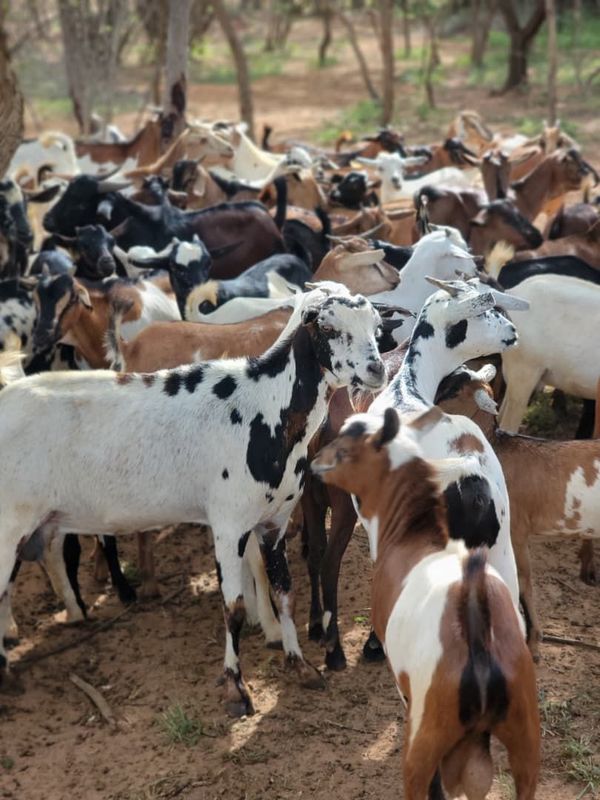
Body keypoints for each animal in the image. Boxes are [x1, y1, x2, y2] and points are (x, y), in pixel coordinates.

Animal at [0, 284, 385, 715]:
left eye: (377, 327)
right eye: (328, 327)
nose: (377, 370)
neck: (265, 405)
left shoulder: (275, 521)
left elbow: (286, 593)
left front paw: (300, 665)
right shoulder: (229, 524)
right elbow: (233, 608)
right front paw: (236, 690)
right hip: (9, 523)